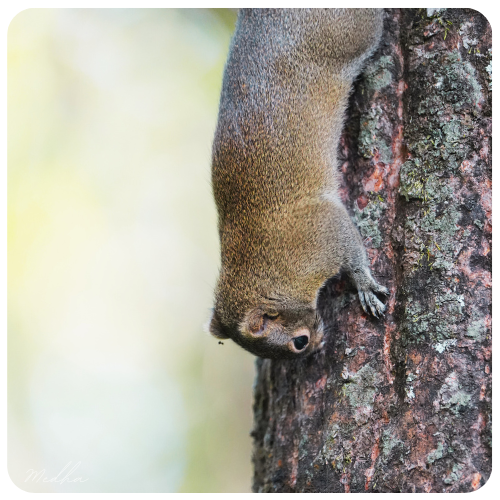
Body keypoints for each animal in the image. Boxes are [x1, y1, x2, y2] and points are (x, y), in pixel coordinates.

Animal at [207, 8, 386, 360]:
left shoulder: (321, 235)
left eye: (299, 342)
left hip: (354, 31)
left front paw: (365, 285)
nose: (319, 346)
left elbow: (353, 253)